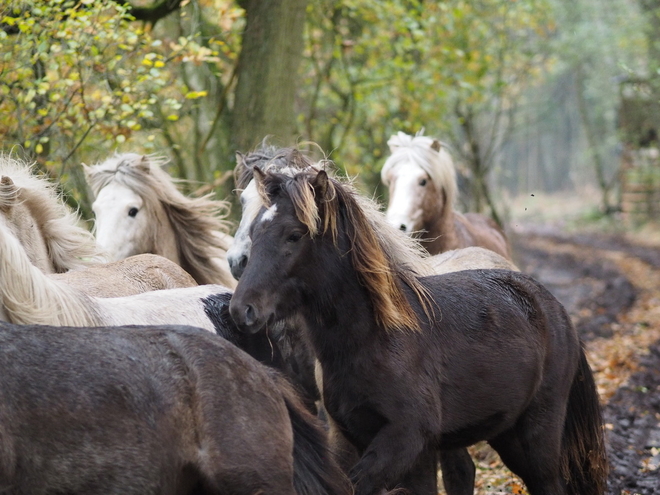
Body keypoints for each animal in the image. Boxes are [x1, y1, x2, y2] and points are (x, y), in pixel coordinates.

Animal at [228, 160, 608, 495]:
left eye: (294, 235)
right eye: (255, 231)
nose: (241, 309)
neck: (376, 339)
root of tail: (553, 307)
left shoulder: (407, 440)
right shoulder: (350, 436)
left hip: (537, 434)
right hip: (505, 432)